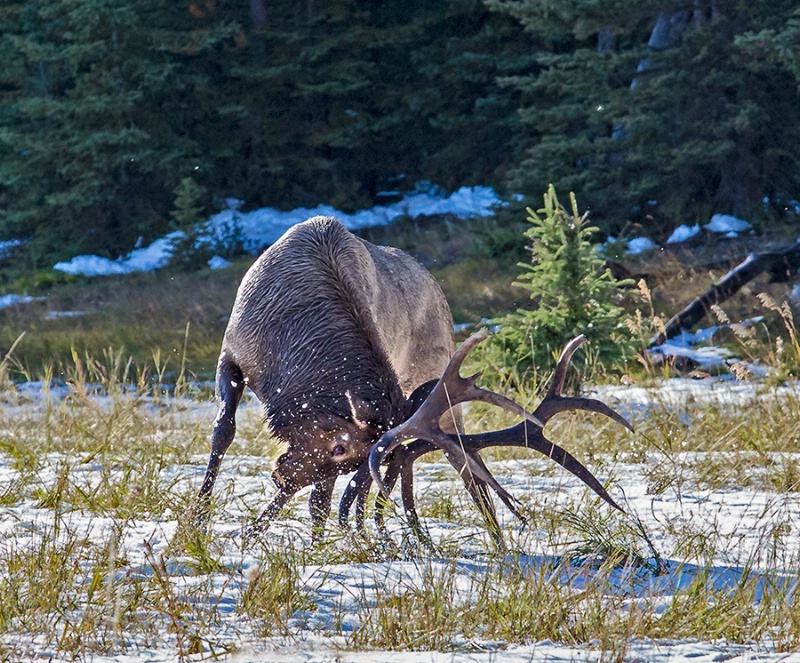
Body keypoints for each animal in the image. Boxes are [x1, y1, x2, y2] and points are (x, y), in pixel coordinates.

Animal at [195, 215, 632, 544]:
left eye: (343, 454)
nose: (281, 475)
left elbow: (320, 496)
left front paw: (285, 536)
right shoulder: (232, 353)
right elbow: (223, 432)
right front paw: (200, 520)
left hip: (430, 379)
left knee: (437, 453)